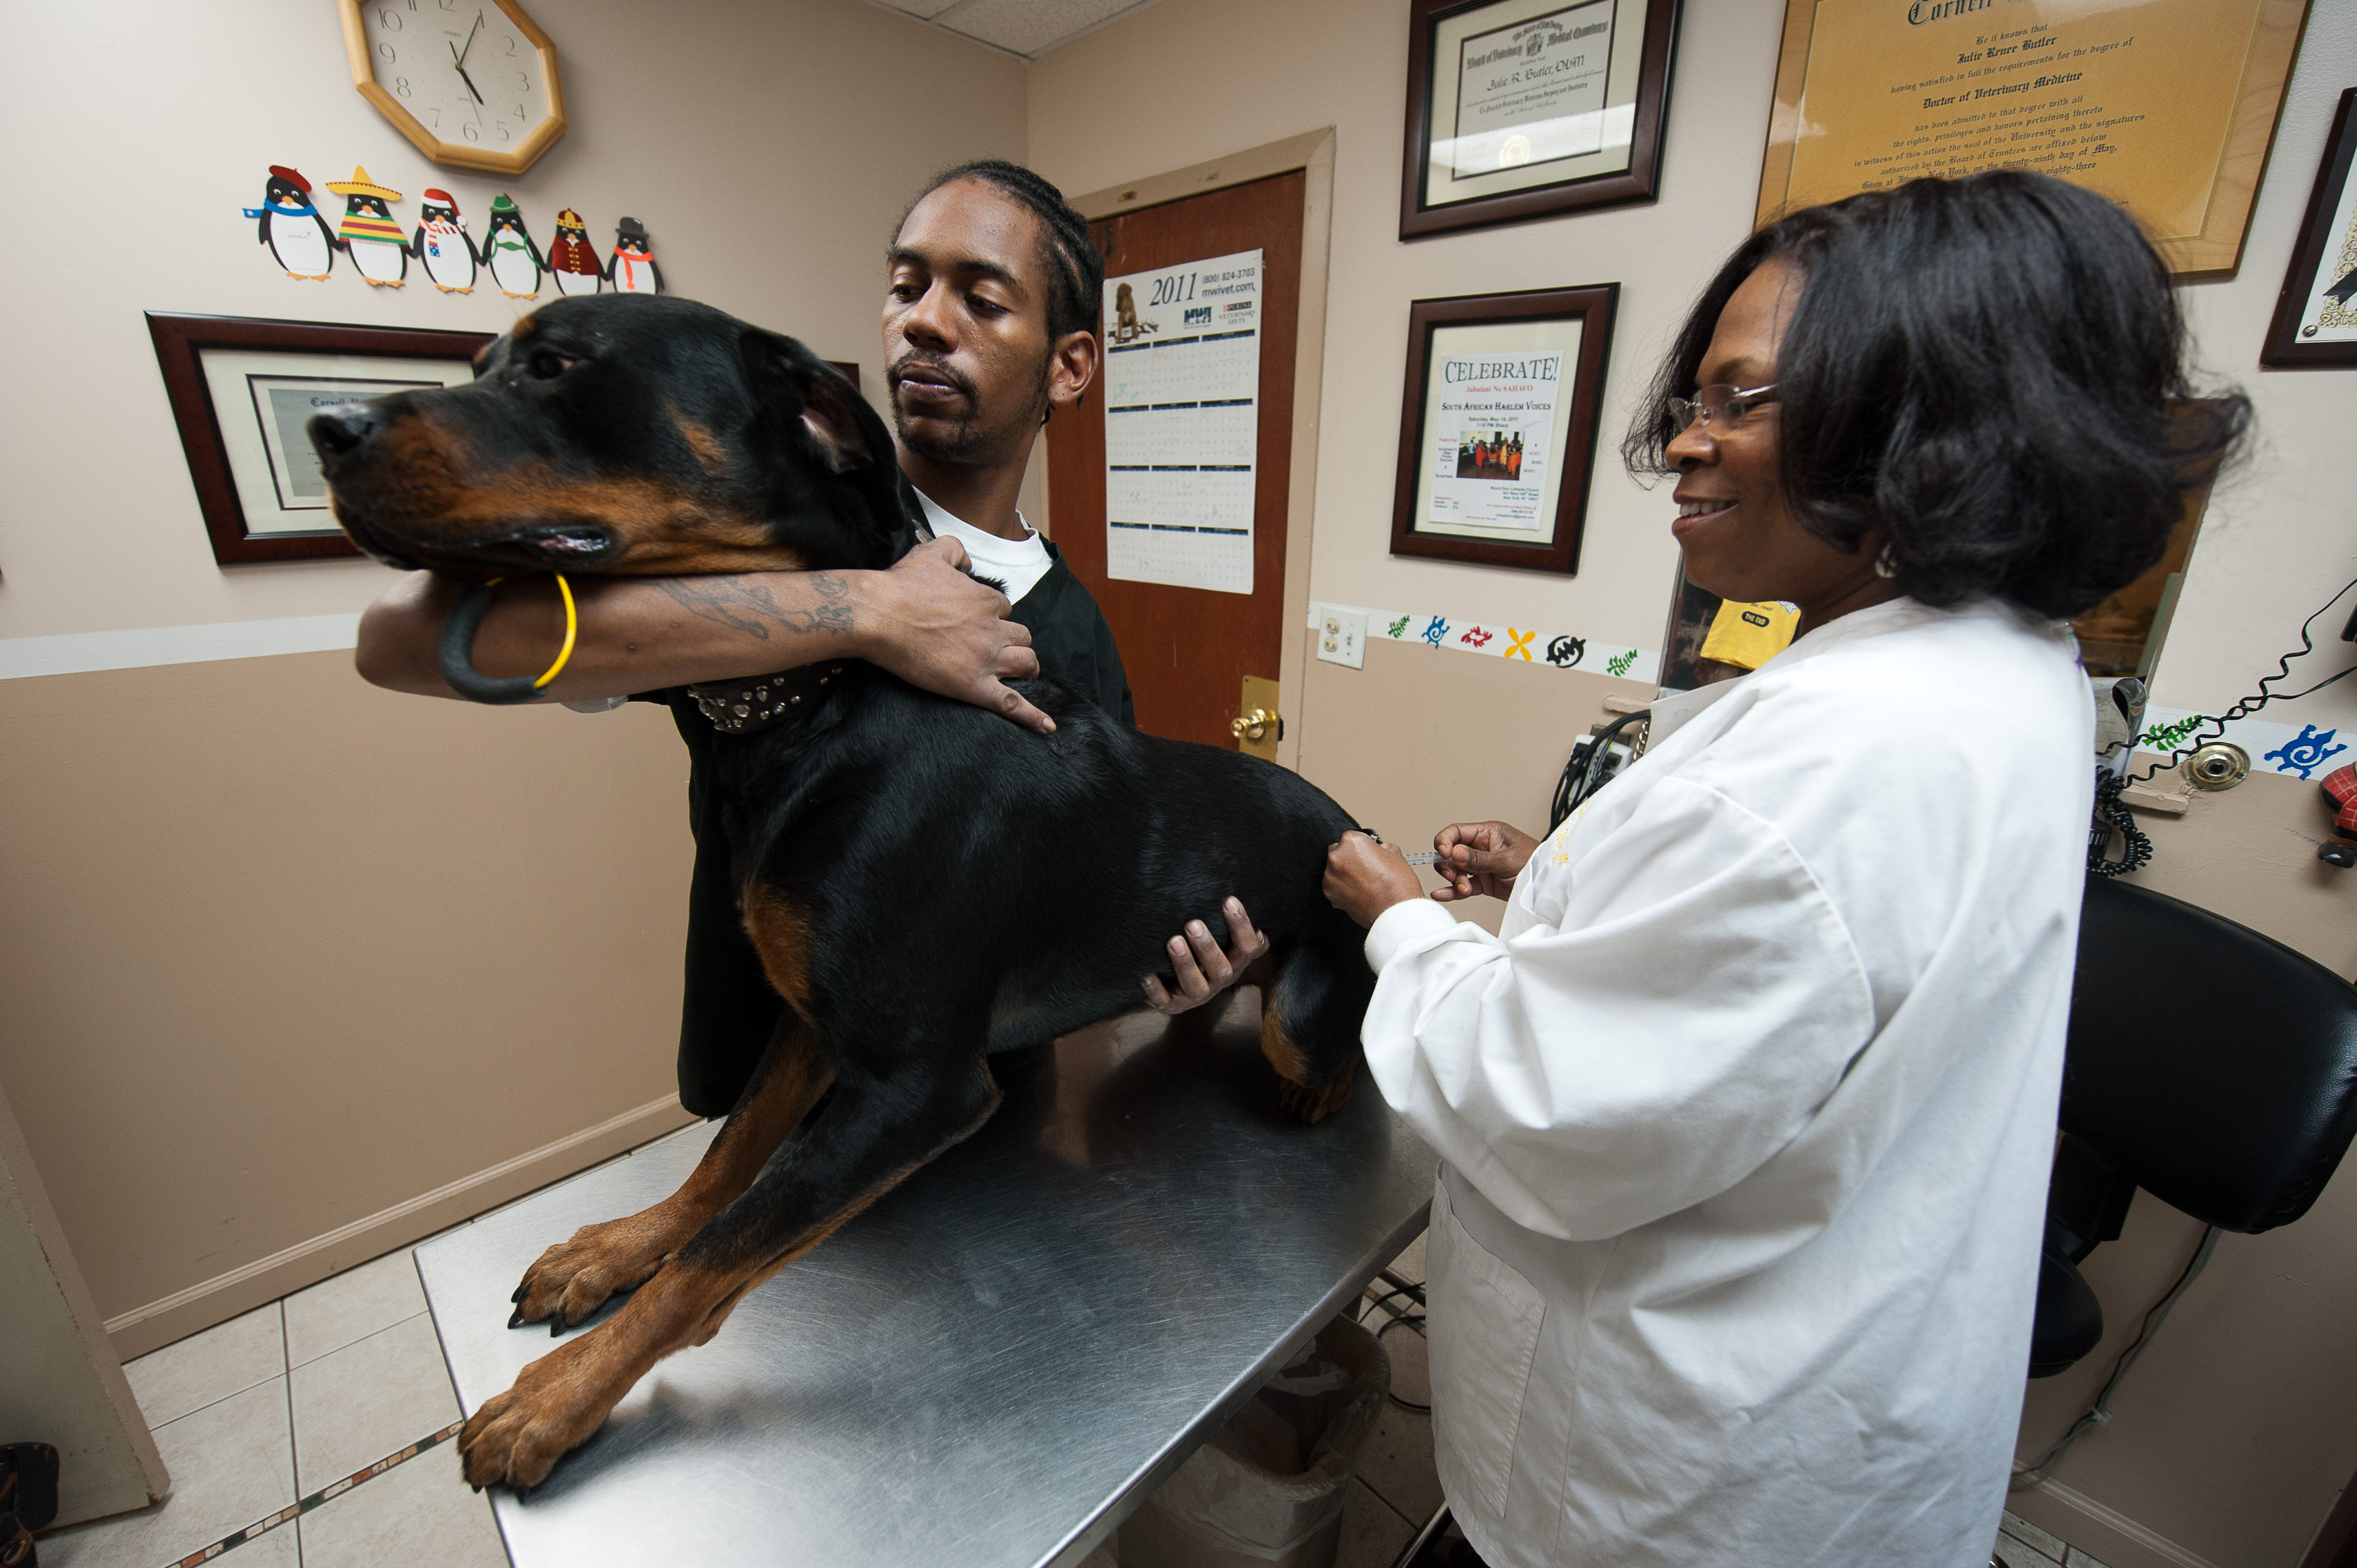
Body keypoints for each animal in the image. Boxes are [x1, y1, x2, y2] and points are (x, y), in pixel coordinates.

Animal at [316, 290, 1376, 1481]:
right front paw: (617, 1248)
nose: (325, 427)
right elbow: (724, 1164)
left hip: (1306, 1009)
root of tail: (1349, 822)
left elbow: (719, 1252)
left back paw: (1315, 1082)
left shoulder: (918, 1087)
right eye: (483, 362)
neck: (816, 700)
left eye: (554, 365)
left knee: (1334, 1051)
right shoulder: (813, 1023)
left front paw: (559, 1397)